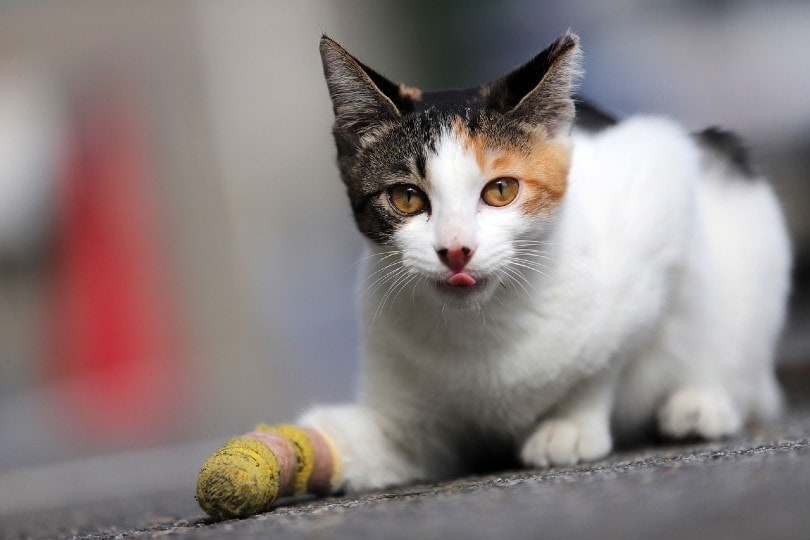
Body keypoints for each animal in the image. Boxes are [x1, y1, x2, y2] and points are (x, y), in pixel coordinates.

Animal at [298, 30, 788, 494]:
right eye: (406, 198)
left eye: (501, 190)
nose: (456, 250)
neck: (483, 327)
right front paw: (332, 448)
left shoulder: (659, 183)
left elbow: (609, 357)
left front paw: (570, 424)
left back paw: (701, 403)